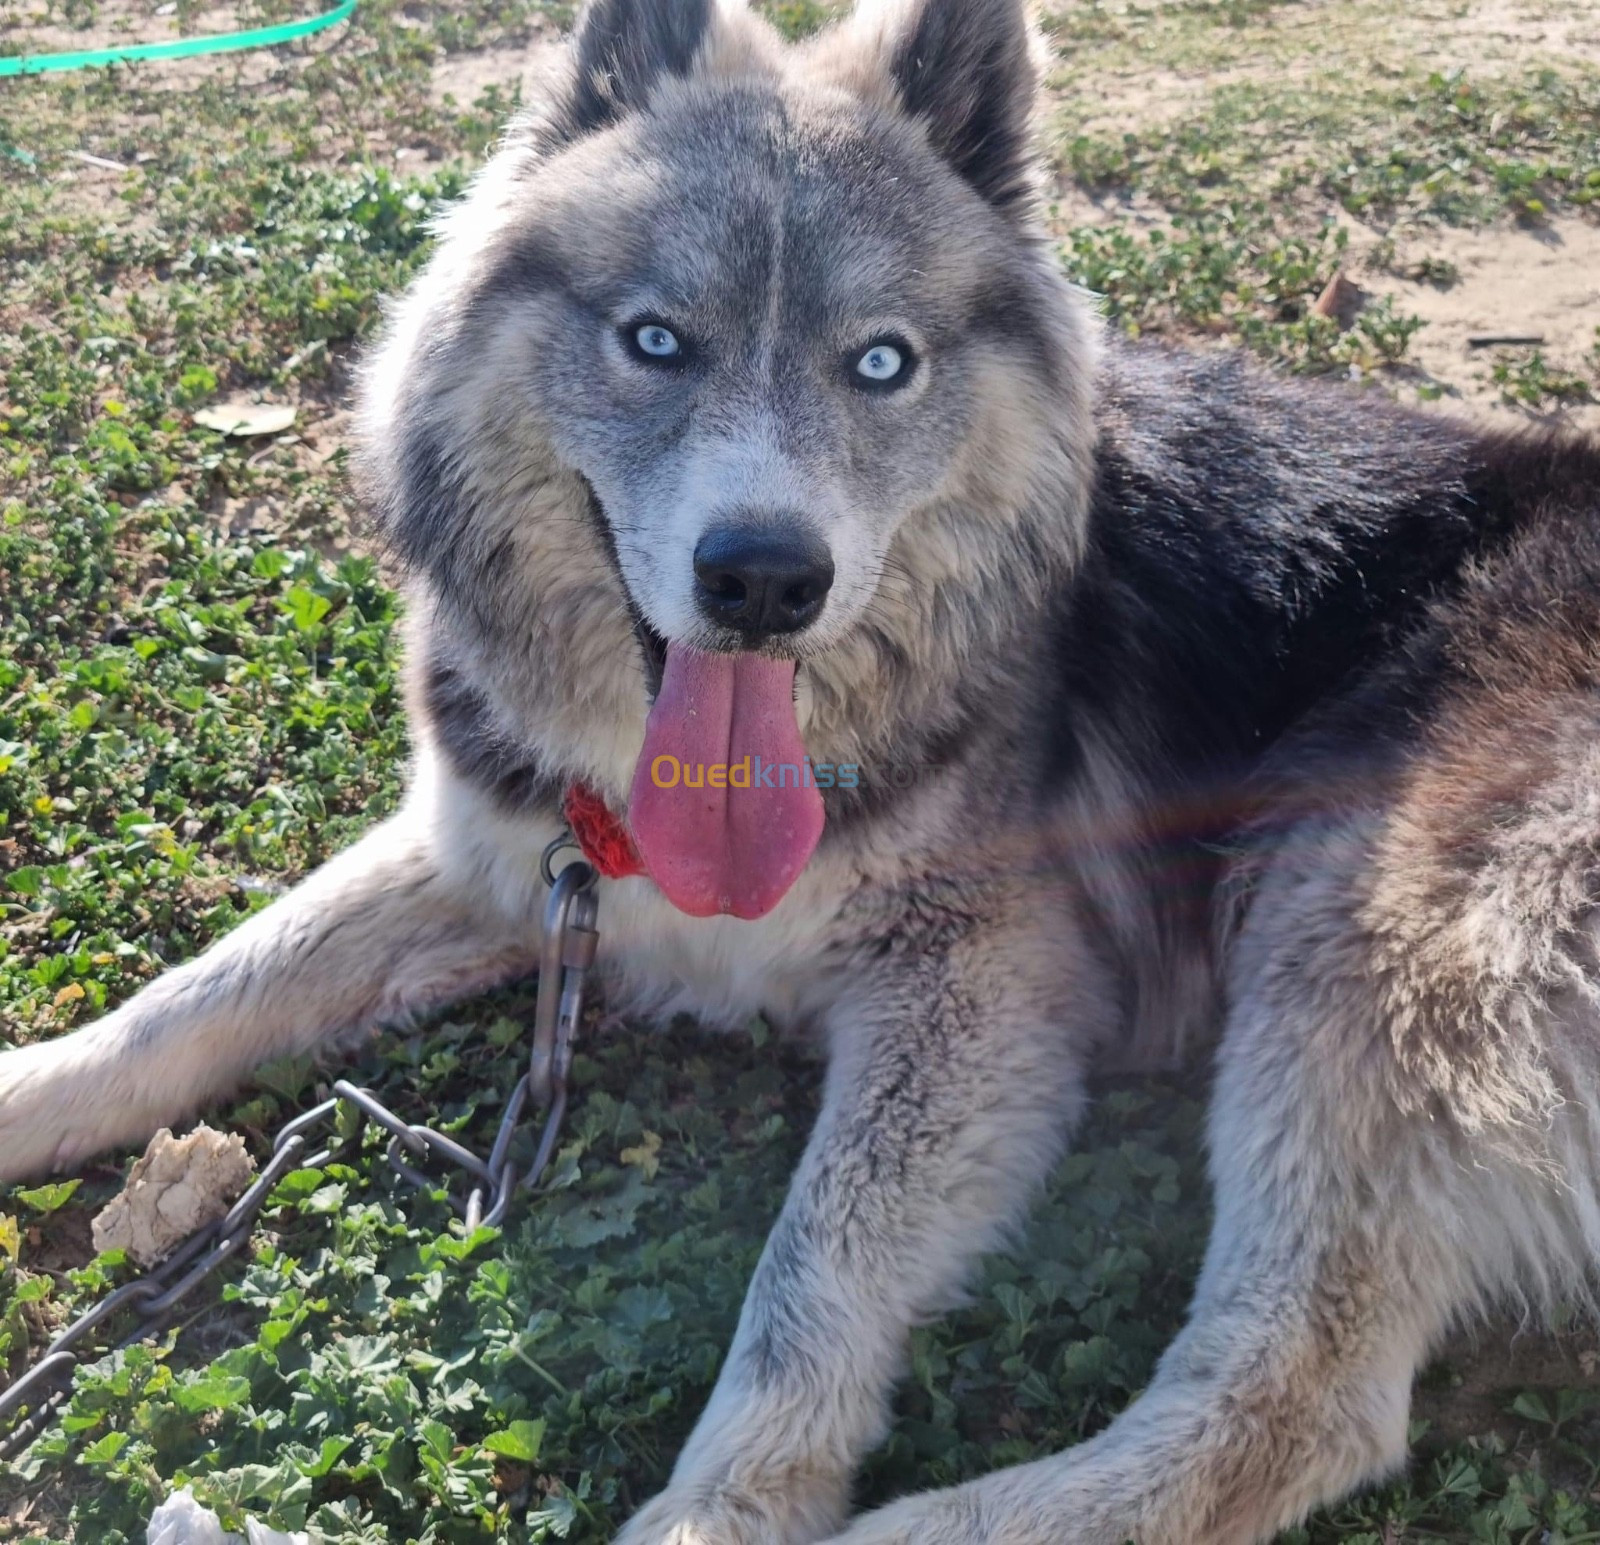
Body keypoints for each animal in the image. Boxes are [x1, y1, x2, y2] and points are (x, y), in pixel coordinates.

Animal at [3, 0, 1600, 1541]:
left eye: (880, 362)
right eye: (656, 341)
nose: (767, 579)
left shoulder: (982, 983)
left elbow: (809, 1272)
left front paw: (721, 1509)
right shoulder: (508, 853)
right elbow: (204, 995)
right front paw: (33, 1090)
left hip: (1361, 942)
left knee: (1291, 1396)